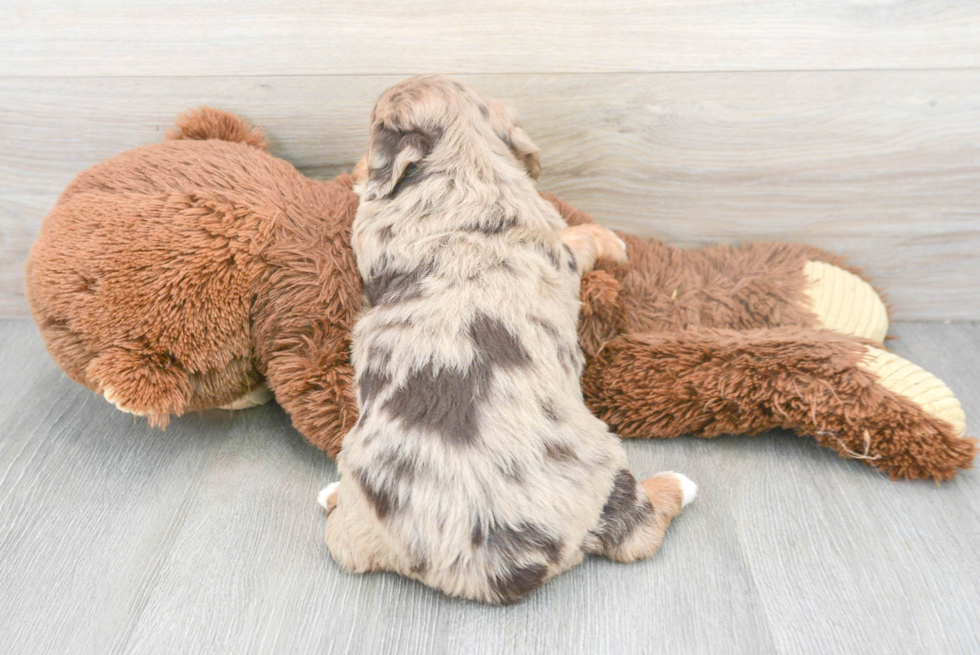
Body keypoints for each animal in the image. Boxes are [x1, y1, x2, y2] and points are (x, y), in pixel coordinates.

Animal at [318, 75, 692, 604]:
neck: (465, 164)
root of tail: (486, 558)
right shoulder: (559, 247)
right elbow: (581, 238)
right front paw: (615, 243)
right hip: (603, 463)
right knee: (637, 532)